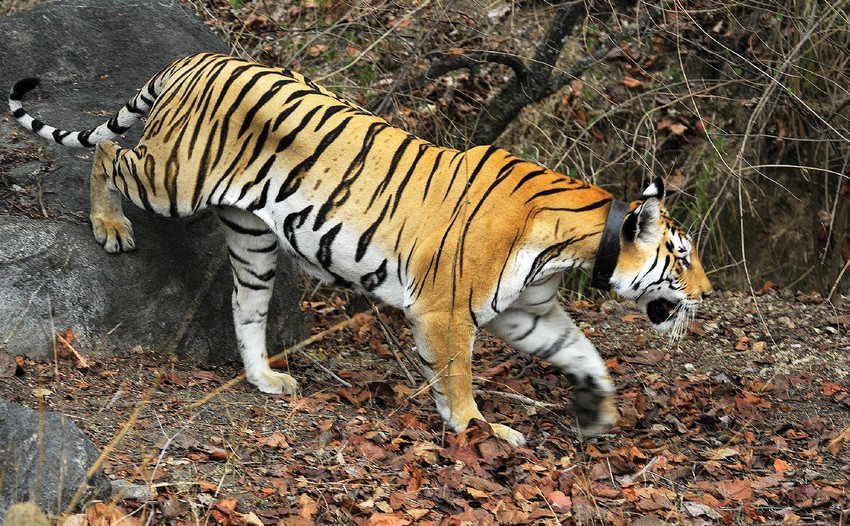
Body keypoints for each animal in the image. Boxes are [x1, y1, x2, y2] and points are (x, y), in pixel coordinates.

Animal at [8, 53, 712, 446]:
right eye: (681, 256)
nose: (706, 295)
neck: (574, 246)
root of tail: (196, 58)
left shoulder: (525, 311)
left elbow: (584, 352)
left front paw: (598, 411)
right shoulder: (447, 311)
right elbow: (458, 381)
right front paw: (481, 432)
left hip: (252, 236)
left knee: (246, 308)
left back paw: (266, 379)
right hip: (172, 177)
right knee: (107, 151)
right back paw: (109, 226)